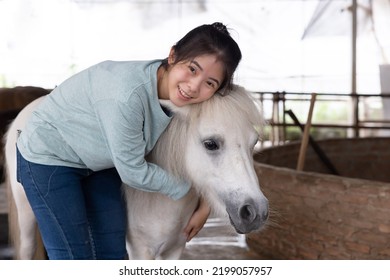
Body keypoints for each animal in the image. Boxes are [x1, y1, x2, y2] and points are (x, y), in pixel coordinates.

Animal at [3, 85, 270, 260]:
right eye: (211, 144)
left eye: (254, 142)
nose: (255, 212)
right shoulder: (140, 252)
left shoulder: (174, 250)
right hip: (27, 217)